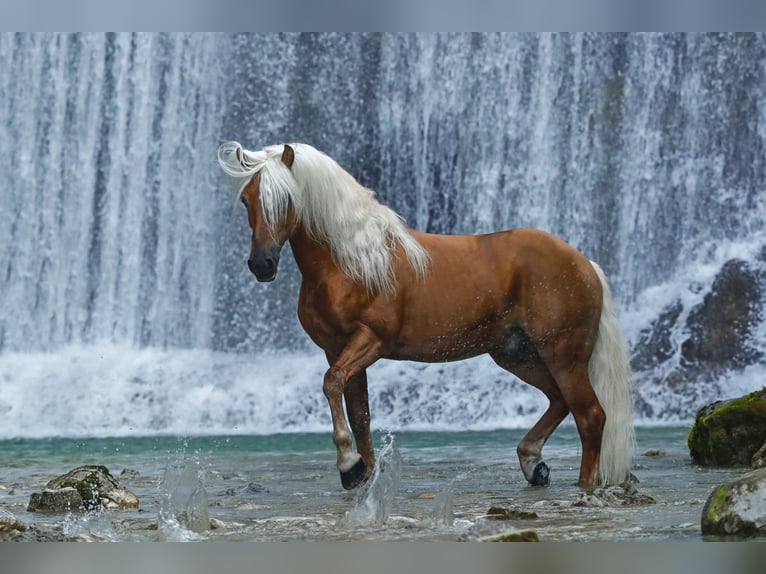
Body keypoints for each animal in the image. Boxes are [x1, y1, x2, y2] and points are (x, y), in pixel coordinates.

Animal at [218, 142, 636, 492]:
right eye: (247, 200)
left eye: (285, 199)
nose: (261, 264)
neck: (352, 261)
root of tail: (585, 263)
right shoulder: (337, 348)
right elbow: (359, 414)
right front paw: (364, 475)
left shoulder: (369, 341)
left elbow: (331, 383)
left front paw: (348, 464)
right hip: (517, 355)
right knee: (559, 401)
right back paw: (533, 464)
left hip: (563, 355)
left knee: (590, 416)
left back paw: (583, 486)